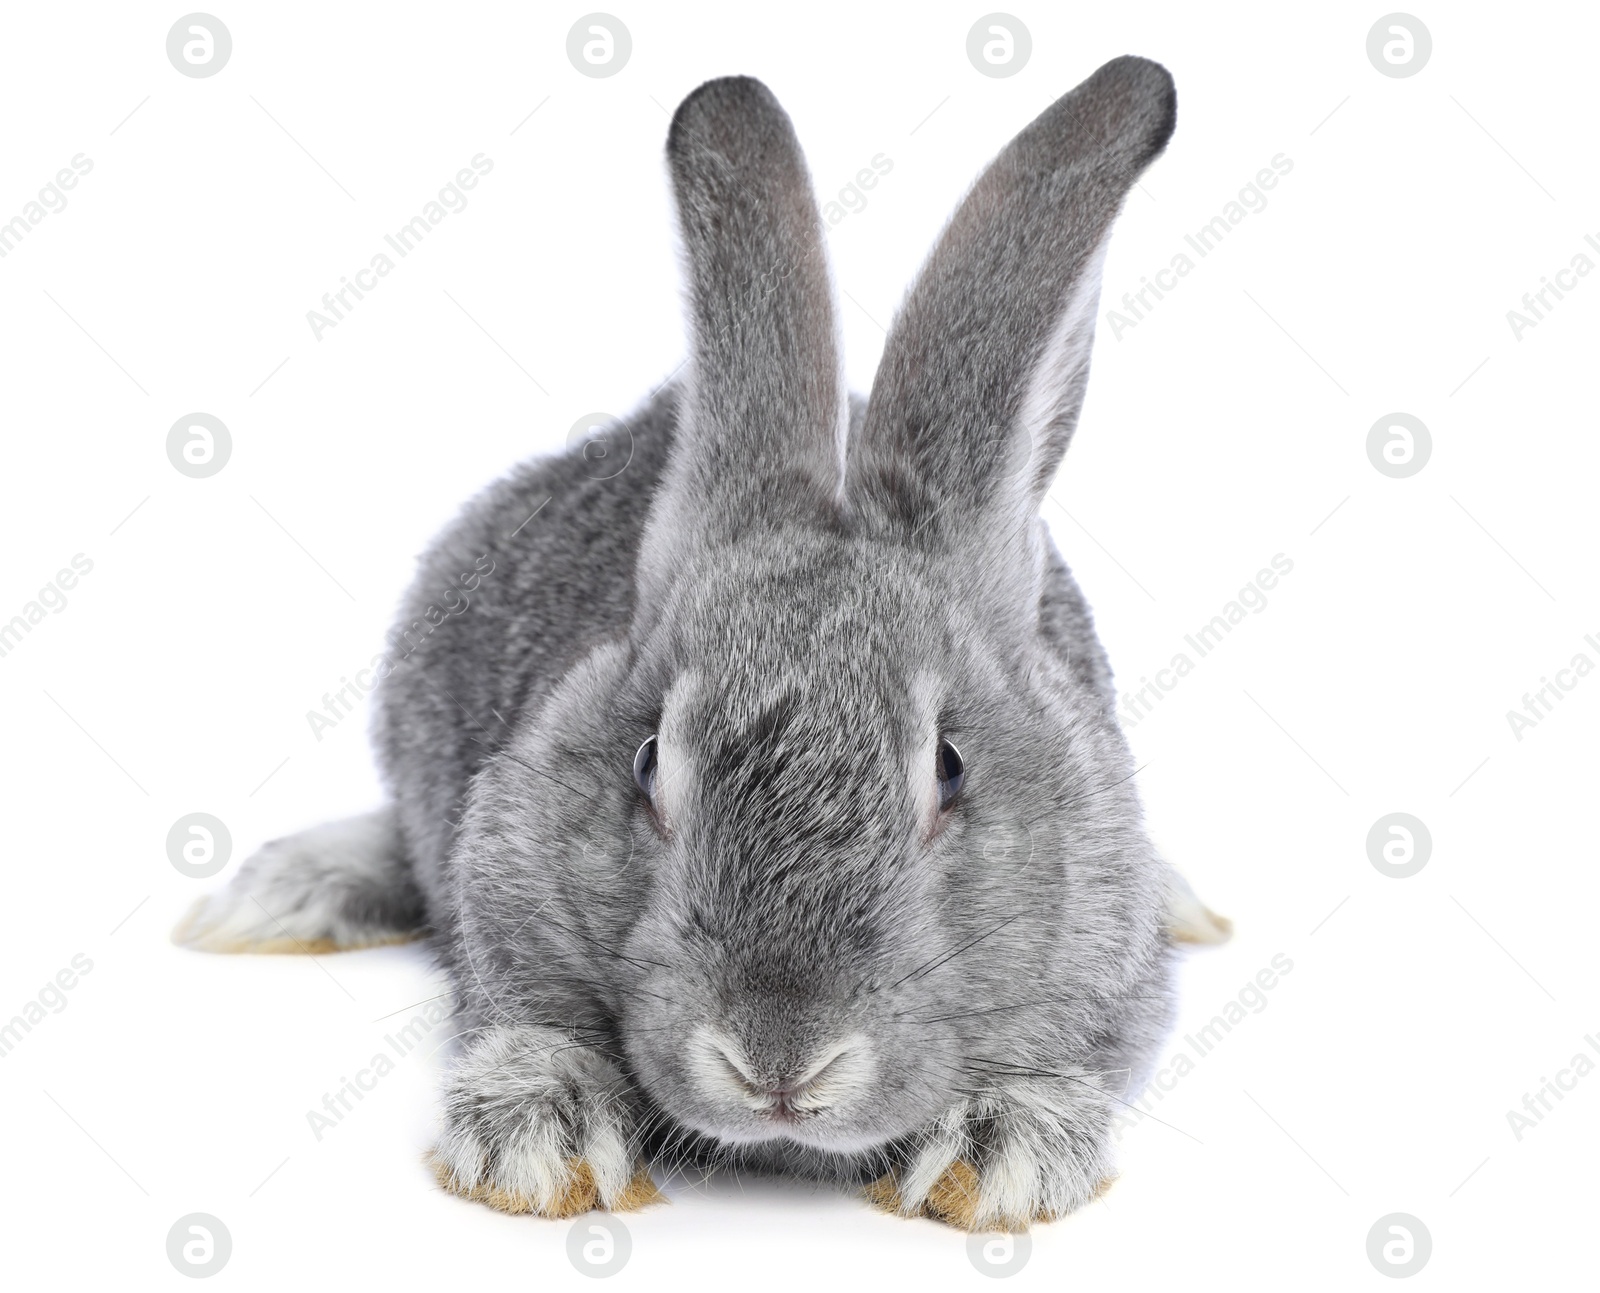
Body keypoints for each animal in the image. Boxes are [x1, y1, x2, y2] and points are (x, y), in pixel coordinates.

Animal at [172, 55, 1222, 1235]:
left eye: (951, 766)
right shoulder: (507, 898)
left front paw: (997, 1157)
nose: (779, 1063)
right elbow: (528, 1019)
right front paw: (540, 1146)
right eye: (646, 760)